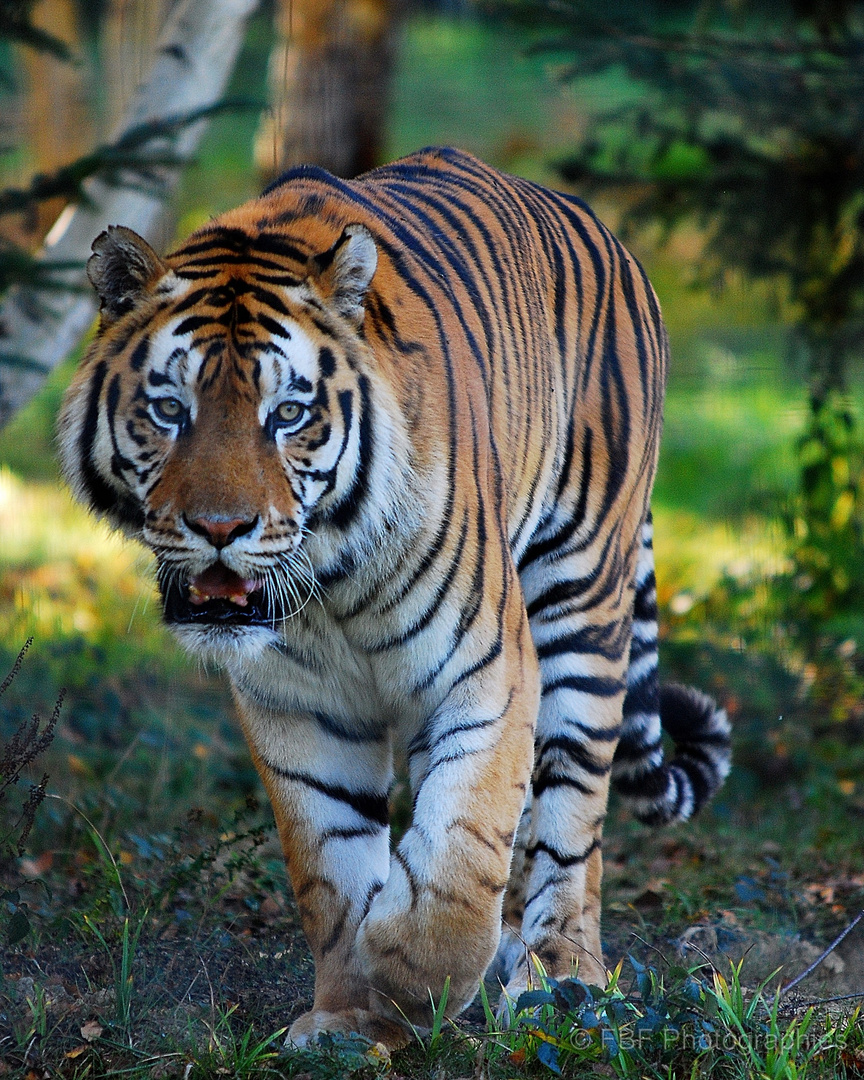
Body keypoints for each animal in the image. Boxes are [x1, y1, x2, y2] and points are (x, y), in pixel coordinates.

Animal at [57, 147, 730, 1049]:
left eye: (288, 414)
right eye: (169, 409)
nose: (221, 528)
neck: (330, 581)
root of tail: (596, 223)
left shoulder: (488, 674)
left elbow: (459, 861)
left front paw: (409, 983)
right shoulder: (299, 706)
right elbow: (333, 871)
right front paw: (349, 1018)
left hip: (582, 600)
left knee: (573, 817)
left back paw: (565, 979)